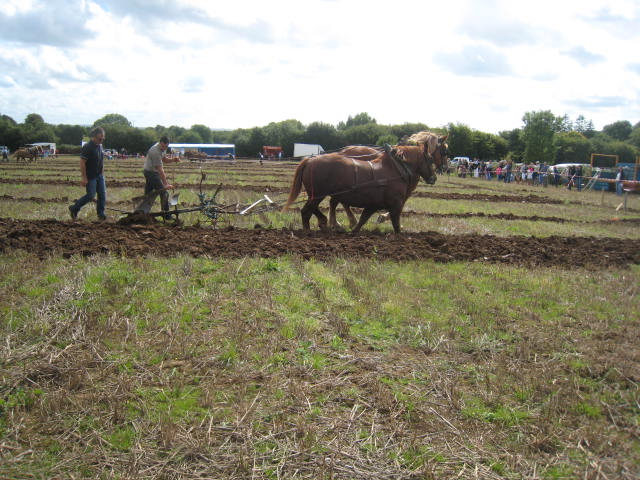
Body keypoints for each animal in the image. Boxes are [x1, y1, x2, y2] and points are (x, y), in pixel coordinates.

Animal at [282, 142, 438, 232]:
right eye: (430, 159)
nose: (434, 178)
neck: (396, 169)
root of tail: (310, 160)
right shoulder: (396, 205)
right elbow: (396, 225)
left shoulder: (373, 205)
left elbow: (363, 219)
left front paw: (353, 231)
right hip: (318, 195)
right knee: (306, 211)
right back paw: (309, 230)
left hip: (316, 195)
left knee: (314, 209)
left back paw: (324, 223)